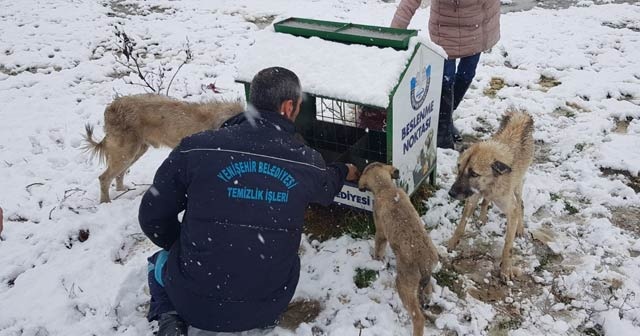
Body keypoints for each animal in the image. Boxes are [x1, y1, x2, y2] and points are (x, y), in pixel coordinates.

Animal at [84, 93, 244, 202]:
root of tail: (110, 108)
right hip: (126, 152)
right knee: (104, 178)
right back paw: (106, 202)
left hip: (136, 151)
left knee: (118, 174)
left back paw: (122, 190)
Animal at [358, 163, 442, 336]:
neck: (386, 188)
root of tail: (425, 264)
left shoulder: (380, 232)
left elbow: (378, 249)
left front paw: (376, 261)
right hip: (423, 282)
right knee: (428, 291)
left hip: (404, 284)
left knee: (418, 317)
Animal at [444, 109, 536, 280]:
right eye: (459, 168)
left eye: (473, 174)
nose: (451, 193)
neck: (491, 183)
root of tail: (520, 115)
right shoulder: (472, 198)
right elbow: (461, 225)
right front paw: (452, 243)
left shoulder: (511, 209)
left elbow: (508, 245)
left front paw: (505, 268)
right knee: (486, 201)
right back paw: (482, 217)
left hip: (518, 185)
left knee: (521, 204)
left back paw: (520, 228)